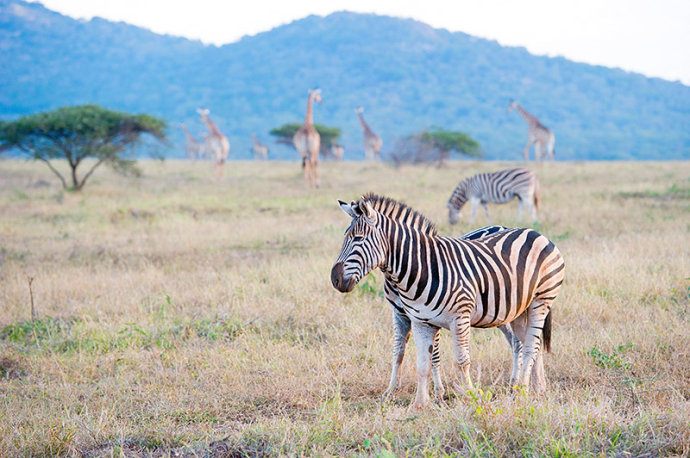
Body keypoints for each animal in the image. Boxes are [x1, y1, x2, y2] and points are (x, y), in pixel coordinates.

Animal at [330, 195, 560, 410]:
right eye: (345, 238)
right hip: (517, 309)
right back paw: (537, 388)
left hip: (540, 300)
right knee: (530, 342)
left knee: (528, 345)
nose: (335, 279)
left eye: (358, 239)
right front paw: (417, 403)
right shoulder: (418, 320)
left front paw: (467, 397)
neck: (421, 269)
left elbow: (460, 360)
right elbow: (415, 360)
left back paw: (520, 390)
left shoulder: (459, 318)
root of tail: (533, 232)